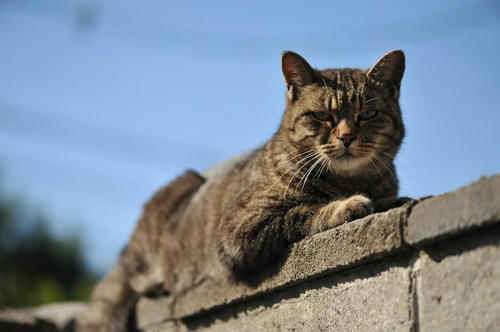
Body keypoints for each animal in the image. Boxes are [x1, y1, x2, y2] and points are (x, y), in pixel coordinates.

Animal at [77, 49, 406, 332]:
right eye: (323, 116)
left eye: (368, 115)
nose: (347, 136)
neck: (350, 180)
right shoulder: (241, 230)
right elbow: (303, 212)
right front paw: (348, 205)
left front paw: (392, 199)